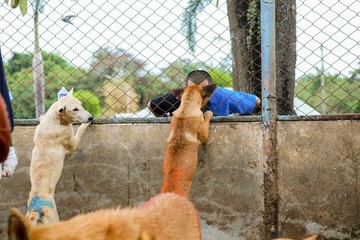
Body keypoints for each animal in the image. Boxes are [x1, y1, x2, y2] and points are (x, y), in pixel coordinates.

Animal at [26, 88, 93, 225]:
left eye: (81, 105)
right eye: (75, 109)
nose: (91, 117)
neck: (54, 120)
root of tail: (35, 210)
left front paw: (41, 117)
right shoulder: (72, 142)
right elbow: (79, 130)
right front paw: (85, 124)